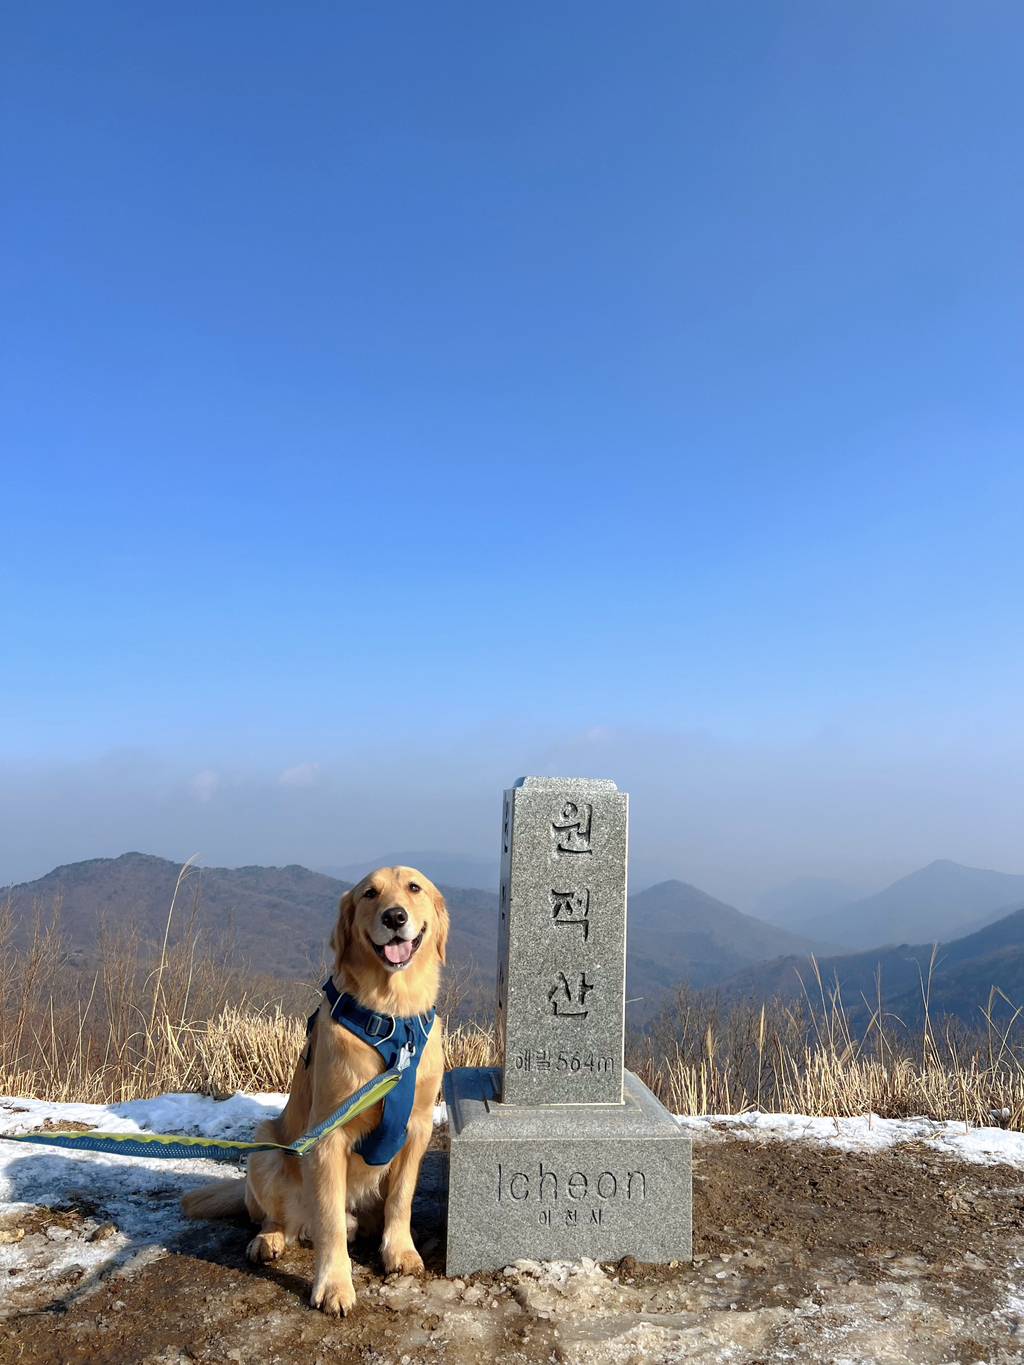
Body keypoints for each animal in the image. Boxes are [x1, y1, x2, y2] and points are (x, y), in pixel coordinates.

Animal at [182, 868, 447, 1315]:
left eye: (414, 888)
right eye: (370, 893)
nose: (394, 917)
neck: (393, 1017)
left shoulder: (419, 1127)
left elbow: (401, 1199)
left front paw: (400, 1251)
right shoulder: (327, 1136)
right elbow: (330, 1223)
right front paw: (335, 1284)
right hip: (267, 1147)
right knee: (277, 1217)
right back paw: (268, 1240)